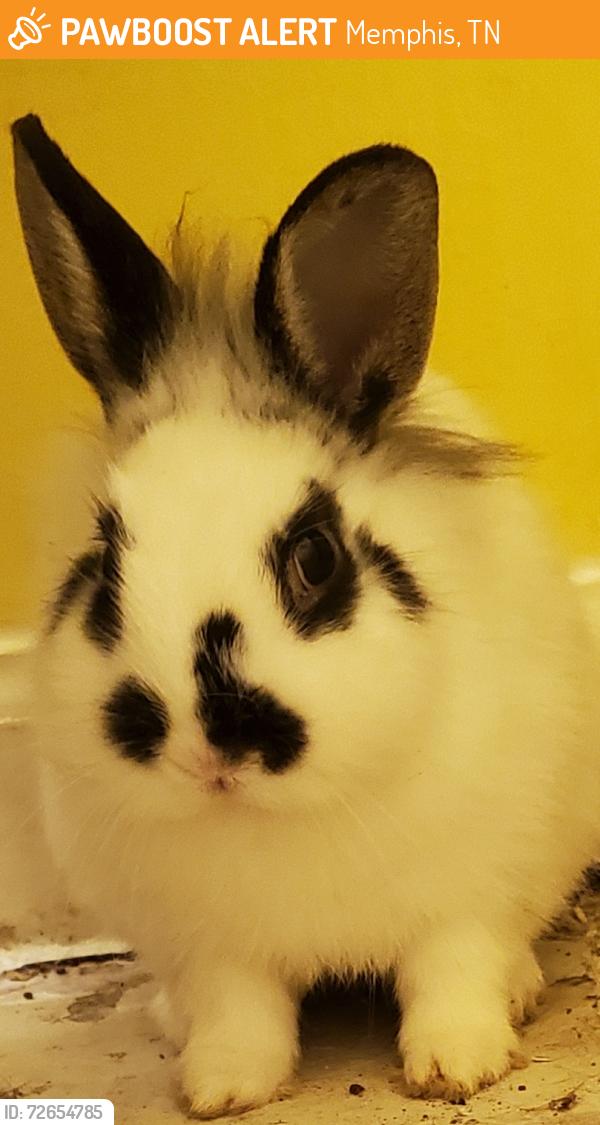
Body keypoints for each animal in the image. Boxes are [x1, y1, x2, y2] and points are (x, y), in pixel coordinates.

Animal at [12, 114, 600, 1118]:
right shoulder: (214, 947)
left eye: (316, 557)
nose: (207, 748)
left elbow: (453, 972)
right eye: (103, 565)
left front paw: (459, 1065)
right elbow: (239, 1009)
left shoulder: (465, 896)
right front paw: (222, 1084)